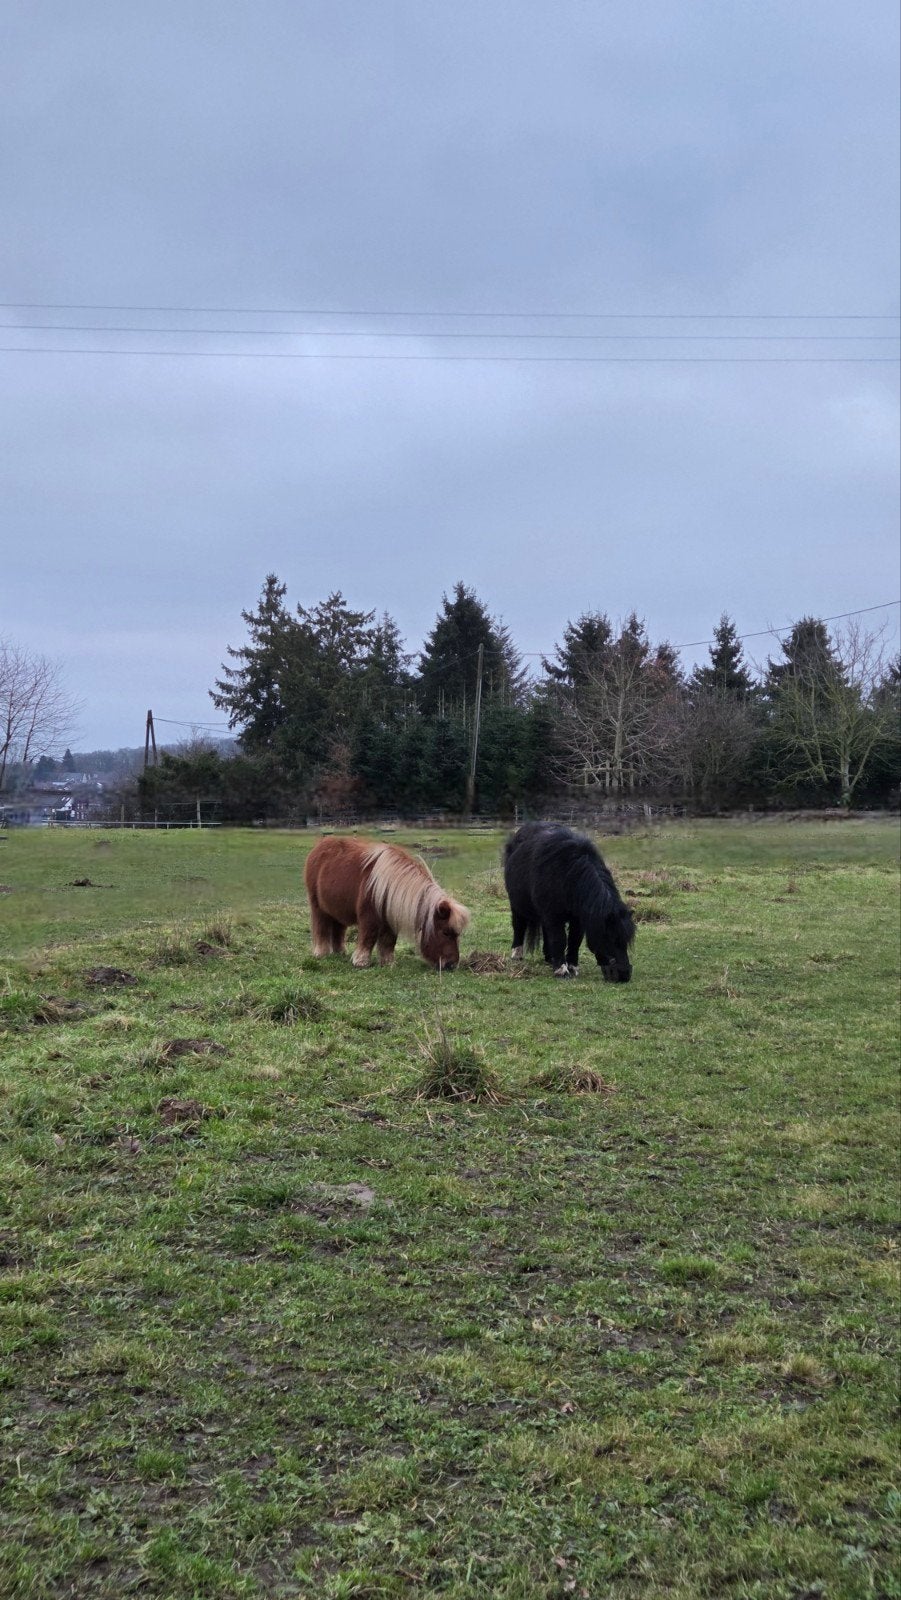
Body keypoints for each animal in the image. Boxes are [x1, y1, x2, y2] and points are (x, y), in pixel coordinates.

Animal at [304, 836, 470, 970]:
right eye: (446, 932)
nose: (452, 965)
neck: (390, 883)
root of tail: (319, 847)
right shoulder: (369, 918)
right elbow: (368, 937)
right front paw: (361, 962)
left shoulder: (390, 919)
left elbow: (388, 941)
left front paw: (388, 963)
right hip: (318, 907)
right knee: (321, 927)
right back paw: (322, 953)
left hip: (337, 910)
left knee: (338, 930)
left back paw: (340, 952)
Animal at [503, 822, 635, 982]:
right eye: (609, 937)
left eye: (626, 941)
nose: (624, 974)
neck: (569, 875)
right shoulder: (553, 915)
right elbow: (559, 939)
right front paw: (561, 971)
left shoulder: (578, 918)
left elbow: (574, 940)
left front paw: (572, 966)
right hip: (516, 904)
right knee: (518, 925)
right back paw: (517, 954)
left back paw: (549, 958)